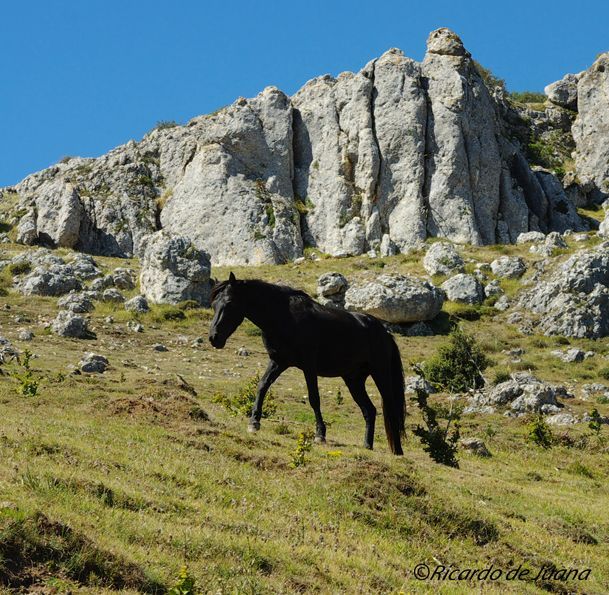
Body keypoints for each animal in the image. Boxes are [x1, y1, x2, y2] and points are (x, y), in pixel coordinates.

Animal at [208, 274, 404, 456]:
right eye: (214, 304)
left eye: (229, 303)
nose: (214, 338)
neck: (283, 317)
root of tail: (384, 333)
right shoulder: (278, 362)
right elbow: (262, 385)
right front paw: (254, 422)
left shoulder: (309, 365)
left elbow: (314, 398)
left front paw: (320, 434)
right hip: (353, 380)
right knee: (369, 410)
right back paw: (367, 445)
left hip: (380, 374)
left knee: (390, 408)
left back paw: (398, 451)